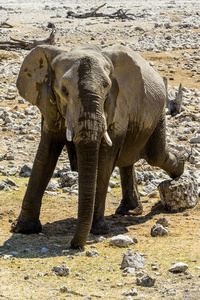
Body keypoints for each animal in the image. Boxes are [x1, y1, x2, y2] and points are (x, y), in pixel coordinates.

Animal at [11, 43, 184, 247]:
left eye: (107, 89)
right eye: (64, 91)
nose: (73, 245)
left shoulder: (117, 106)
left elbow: (104, 161)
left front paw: (98, 229)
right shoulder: (49, 105)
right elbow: (45, 156)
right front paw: (22, 229)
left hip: (157, 114)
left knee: (155, 156)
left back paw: (180, 168)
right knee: (129, 160)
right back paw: (129, 210)